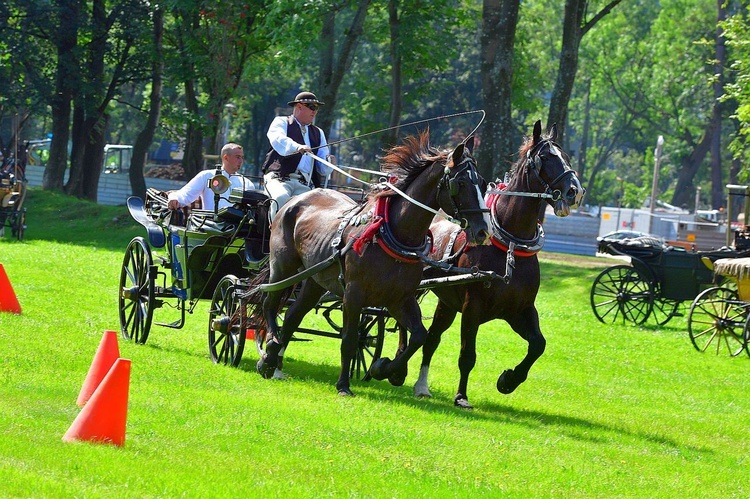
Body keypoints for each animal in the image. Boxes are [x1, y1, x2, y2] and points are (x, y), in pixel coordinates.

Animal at [253, 133, 494, 398]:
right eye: (459, 183)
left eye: (483, 183)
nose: (483, 230)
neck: (394, 234)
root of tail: (296, 199)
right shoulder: (353, 294)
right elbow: (349, 339)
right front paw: (344, 385)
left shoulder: (400, 298)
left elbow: (418, 336)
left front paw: (385, 368)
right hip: (283, 266)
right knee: (269, 303)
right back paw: (270, 350)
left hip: (315, 280)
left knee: (292, 315)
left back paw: (274, 363)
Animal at [414, 119, 584, 408]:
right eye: (545, 157)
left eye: (566, 156)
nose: (575, 191)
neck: (510, 246)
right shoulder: (472, 308)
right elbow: (467, 355)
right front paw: (461, 396)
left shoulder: (519, 310)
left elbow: (538, 344)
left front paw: (509, 380)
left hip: (447, 303)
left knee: (432, 338)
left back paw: (420, 385)